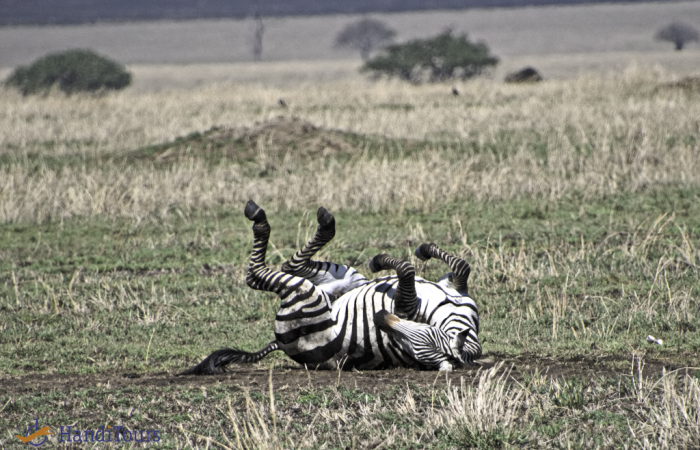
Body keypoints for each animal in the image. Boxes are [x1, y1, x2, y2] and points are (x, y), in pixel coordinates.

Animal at [176, 201, 482, 376]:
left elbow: (407, 270)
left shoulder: (403, 306)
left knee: (258, 275)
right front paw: (418, 251)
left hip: (304, 295)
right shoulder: (452, 286)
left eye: (419, 347)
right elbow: (460, 265)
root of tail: (281, 344)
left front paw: (387, 260)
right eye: (424, 336)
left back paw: (261, 218)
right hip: (344, 280)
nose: (380, 319)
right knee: (293, 263)